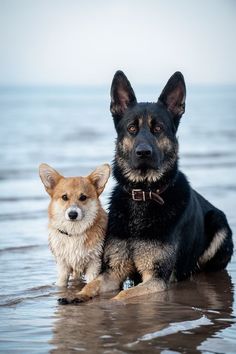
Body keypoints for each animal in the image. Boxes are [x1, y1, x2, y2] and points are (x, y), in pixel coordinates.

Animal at [59, 70, 234, 302]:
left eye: (158, 128)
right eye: (132, 128)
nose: (143, 152)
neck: (143, 194)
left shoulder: (156, 279)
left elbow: (121, 297)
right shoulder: (113, 272)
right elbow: (93, 285)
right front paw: (77, 295)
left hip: (218, 222)